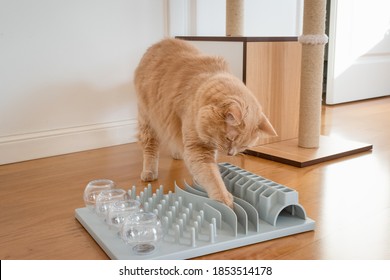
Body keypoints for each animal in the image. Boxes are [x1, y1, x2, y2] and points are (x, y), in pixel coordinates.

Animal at [136, 38, 276, 207]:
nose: (231, 153)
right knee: (150, 148)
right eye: (229, 138)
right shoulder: (198, 148)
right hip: (147, 119)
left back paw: (177, 153)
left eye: (243, 146)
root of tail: (159, 43)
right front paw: (224, 200)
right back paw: (149, 172)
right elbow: (212, 177)